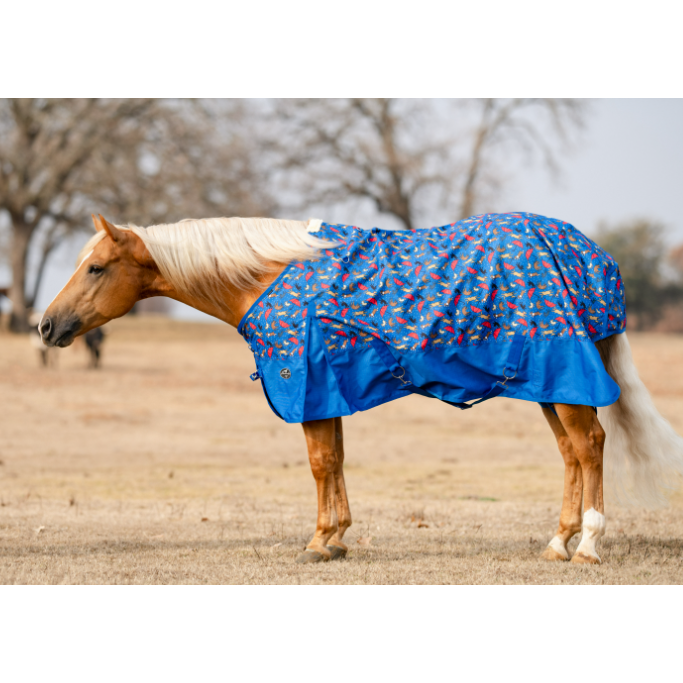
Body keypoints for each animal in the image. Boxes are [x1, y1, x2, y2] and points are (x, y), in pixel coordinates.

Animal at [40, 213, 683, 565]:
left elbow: (320, 462)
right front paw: (338, 538)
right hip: (548, 383)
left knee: (591, 446)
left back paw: (589, 545)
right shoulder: (330, 391)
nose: (46, 325)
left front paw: (319, 541)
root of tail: (590, 255)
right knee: (573, 452)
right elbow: (337, 460)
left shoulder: (308, 386)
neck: (271, 274)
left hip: (564, 375)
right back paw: (557, 542)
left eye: (95, 267)